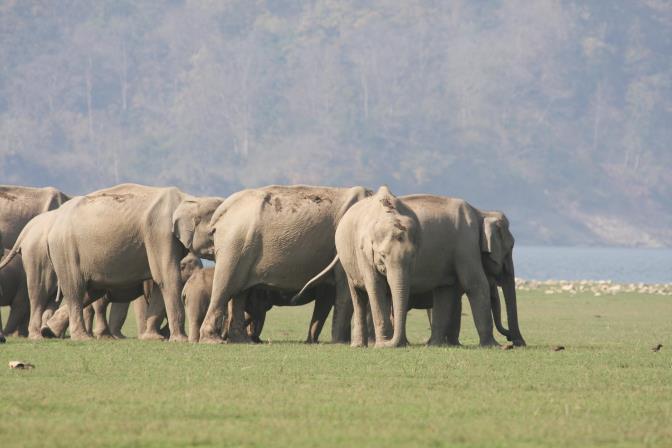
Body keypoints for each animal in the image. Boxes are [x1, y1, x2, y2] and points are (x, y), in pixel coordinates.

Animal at [40, 184, 223, 342]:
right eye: (214, 231)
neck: (189, 199)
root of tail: (52, 225)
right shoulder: (160, 233)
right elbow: (167, 277)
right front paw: (180, 340)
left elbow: (159, 282)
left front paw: (153, 338)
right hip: (65, 250)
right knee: (75, 289)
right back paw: (81, 337)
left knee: (90, 291)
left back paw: (48, 331)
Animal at [200, 184, 370, 344]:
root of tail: (222, 211)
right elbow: (344, 291)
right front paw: (340, 343)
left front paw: (314, 342)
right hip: (234, 245)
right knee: (225, 287)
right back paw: (214, 340)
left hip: (241, 248)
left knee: (239, 293)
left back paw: (242, 341)